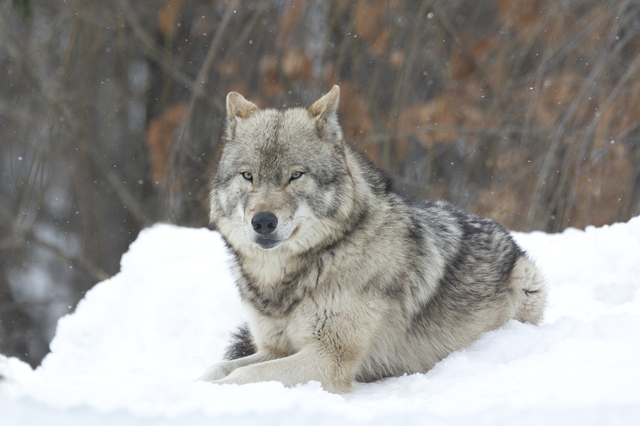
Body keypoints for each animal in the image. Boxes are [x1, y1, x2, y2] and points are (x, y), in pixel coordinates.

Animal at [201, 85, 544, 392]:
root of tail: (506, 234)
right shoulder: (274, 349)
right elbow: (216, 369)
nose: (262, 221)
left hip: (526, 283)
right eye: (248, 176)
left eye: (296, 175)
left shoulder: (328, 358)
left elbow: (240, 378)